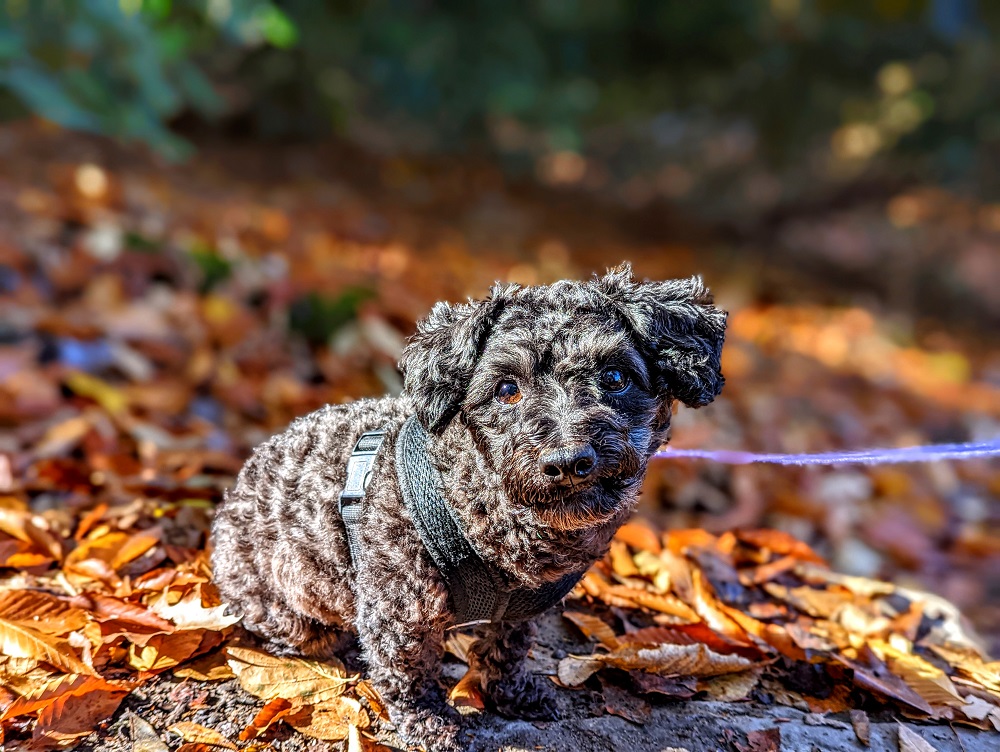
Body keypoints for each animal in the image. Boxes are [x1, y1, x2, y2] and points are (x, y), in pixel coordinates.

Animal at [211, 266, 728, 752]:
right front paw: (429, 723)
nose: (568, 461)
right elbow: (406, 674)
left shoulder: (521, 611)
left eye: (616, 377)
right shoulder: (397, 608)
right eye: (506, 388)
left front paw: (511, 693)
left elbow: (508, 650)